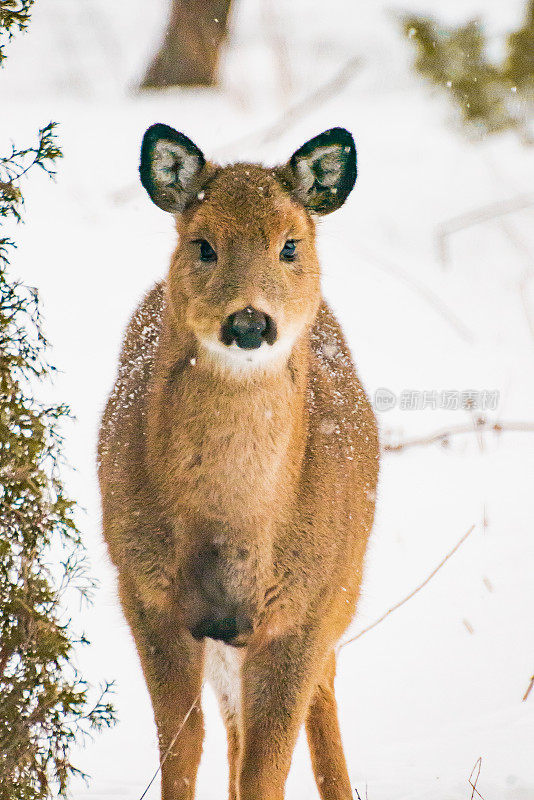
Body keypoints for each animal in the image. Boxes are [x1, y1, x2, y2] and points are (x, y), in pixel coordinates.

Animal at [97, 123, 382, 800]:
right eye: (203, 245)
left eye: (289, 245)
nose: (250, 321)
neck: (233, 527)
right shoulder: (146, 594)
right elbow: (182, 749)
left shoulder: (303, 611)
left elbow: (266, 766)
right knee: (230, 730)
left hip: (343, 586)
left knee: (320, 698)